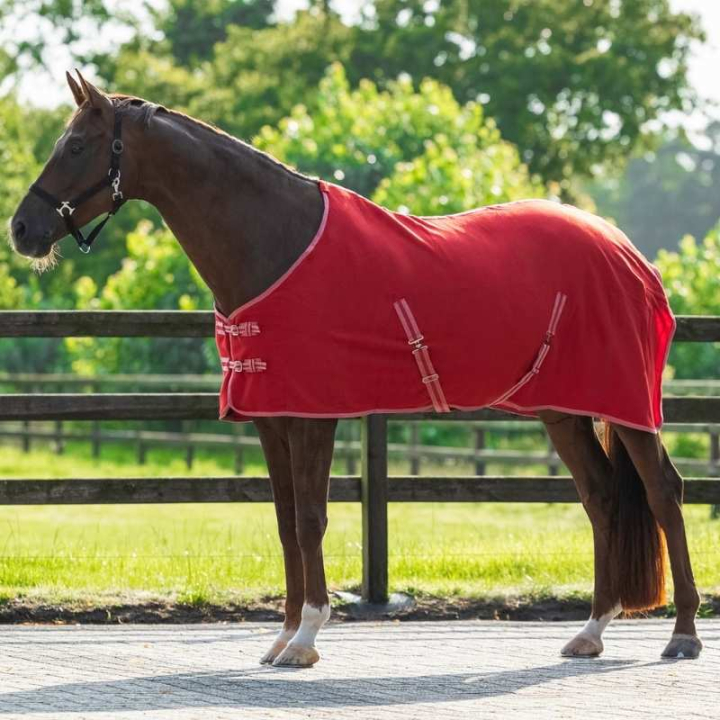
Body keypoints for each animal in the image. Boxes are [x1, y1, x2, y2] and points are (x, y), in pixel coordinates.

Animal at [10, 71, 702, 666]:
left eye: (76, 145)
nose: (22, 229)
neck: (277, 242)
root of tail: (627, 251)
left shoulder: (315, 415)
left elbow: (311, 520)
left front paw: (306, 638)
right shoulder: (272, 417)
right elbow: (285, 523)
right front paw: (282, 635)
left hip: (627, 406)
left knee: (662, 492)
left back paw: (683, 634)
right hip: (564, 411)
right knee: (602, 497)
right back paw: (591, 631)